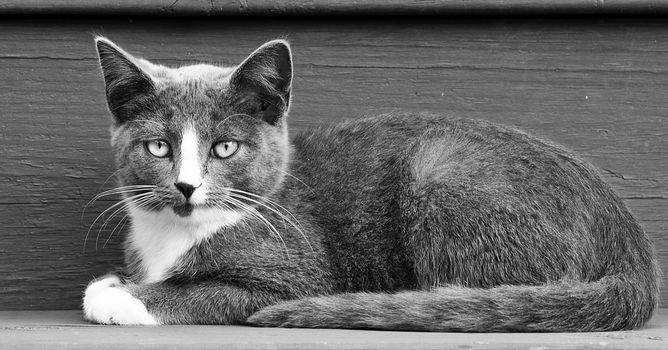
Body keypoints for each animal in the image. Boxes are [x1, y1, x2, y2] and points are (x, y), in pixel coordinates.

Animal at [82, 37, 656, 332]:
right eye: (159, 147)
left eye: (225, 148)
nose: (185, 187)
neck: (175, 234)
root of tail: (627, 239)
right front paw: (117, 281)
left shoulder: (294, 273)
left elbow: (204, 292)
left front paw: (119, 296)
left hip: (441, 173)